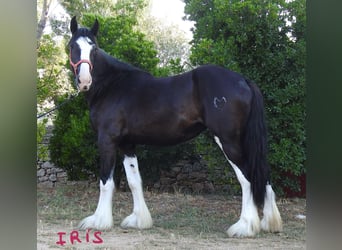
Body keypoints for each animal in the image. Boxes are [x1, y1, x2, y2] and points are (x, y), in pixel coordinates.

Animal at [68, 17, 282, 236]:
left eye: (94, 48)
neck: (112, 86)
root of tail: (243, 80)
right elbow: (135, 181)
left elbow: (105, 182)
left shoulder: (107, 140)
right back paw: (269, 223)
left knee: (247, 178)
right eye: (72, 46)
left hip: (228, 140)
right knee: (263, 175)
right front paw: (139, 220)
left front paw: (98, 221)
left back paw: (245, 226)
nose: (84, 81)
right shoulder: (127, 144)